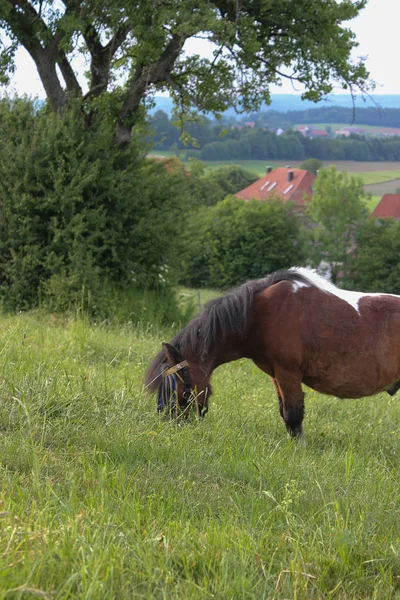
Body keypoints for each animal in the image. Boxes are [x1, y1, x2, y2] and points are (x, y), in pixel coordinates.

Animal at [145, 268, 400, 436]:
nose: (170, 427)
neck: (259, 314)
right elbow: (284, 411)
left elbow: (294, 413)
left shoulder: (288, 372)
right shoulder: (276, 374)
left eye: (177, 391)